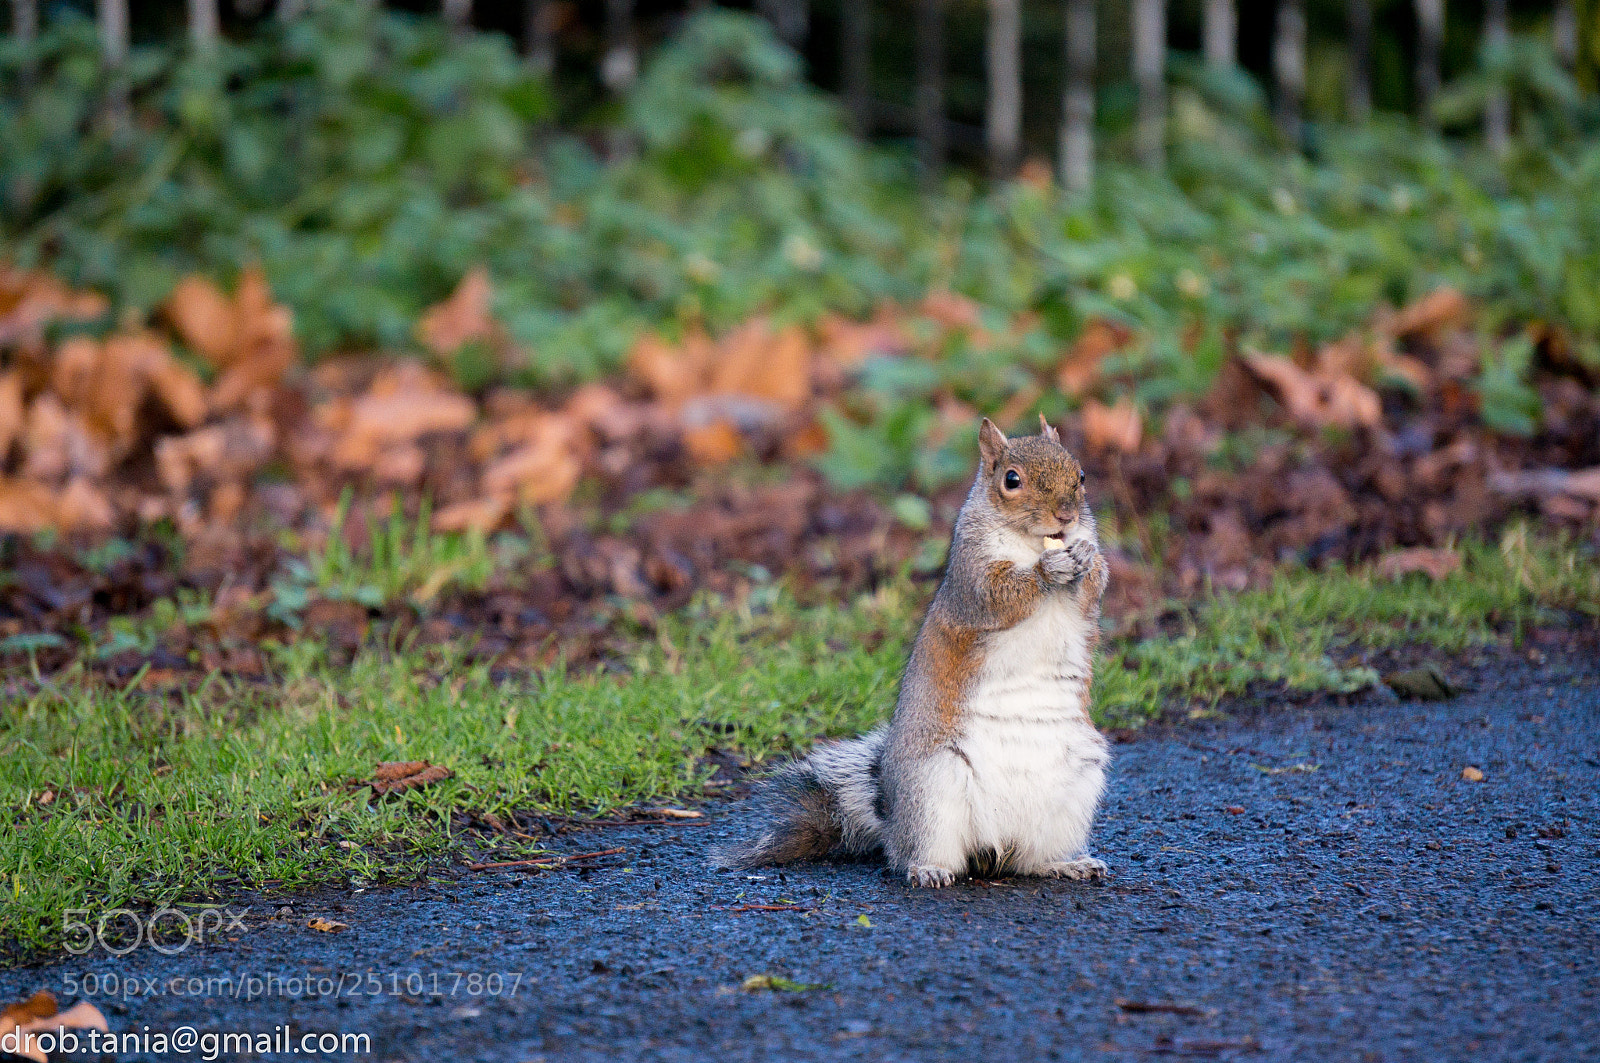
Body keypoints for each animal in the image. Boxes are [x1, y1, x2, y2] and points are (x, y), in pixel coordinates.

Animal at [716, 416, 1113, 890]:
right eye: (1011, 480)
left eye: (1082, 475)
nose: (1066, 516)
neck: (1032, 543)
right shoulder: (971, 577)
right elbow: (998, 596)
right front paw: (1047, 570)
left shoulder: (1084, 596)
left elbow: (1092, 590)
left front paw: (1085, 555)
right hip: (932, 790)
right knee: (917, 853)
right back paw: (927, 869)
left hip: (1075, 791)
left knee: (1030, 861)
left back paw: (1066, 863)